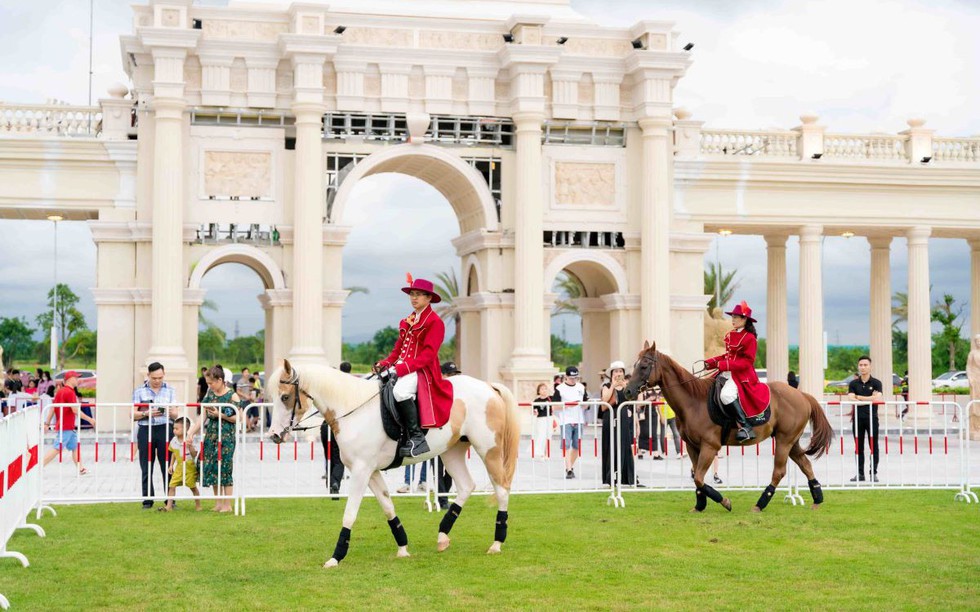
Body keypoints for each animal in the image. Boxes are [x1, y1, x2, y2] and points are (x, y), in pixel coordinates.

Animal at [268, 358, 520, 568]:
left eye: (285, 397)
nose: (274, 436)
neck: (352, 408)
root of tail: (488, 386)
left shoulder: (361, 471)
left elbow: (350, 513)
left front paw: (336, 556)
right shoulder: (370, 472)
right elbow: (388, 506)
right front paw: (403, 547)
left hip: (489, 450)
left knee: (502, 489)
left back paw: (497, 543)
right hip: (452, 451)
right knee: (467, 486)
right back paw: (442, 536)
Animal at [624, 340, 832, 512]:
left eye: (644, 366)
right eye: (634, 365)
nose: (627, 391)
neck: (693, 401)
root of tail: (802, 395)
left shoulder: (710, 446)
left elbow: (699, 478)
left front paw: (724, 501)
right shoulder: (692, 446)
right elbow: (697, 478)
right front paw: (699, 505)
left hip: (783, 441)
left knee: (779, 472)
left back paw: (760, 504)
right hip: (790, 442)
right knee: (805, 464)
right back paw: (817, 499)